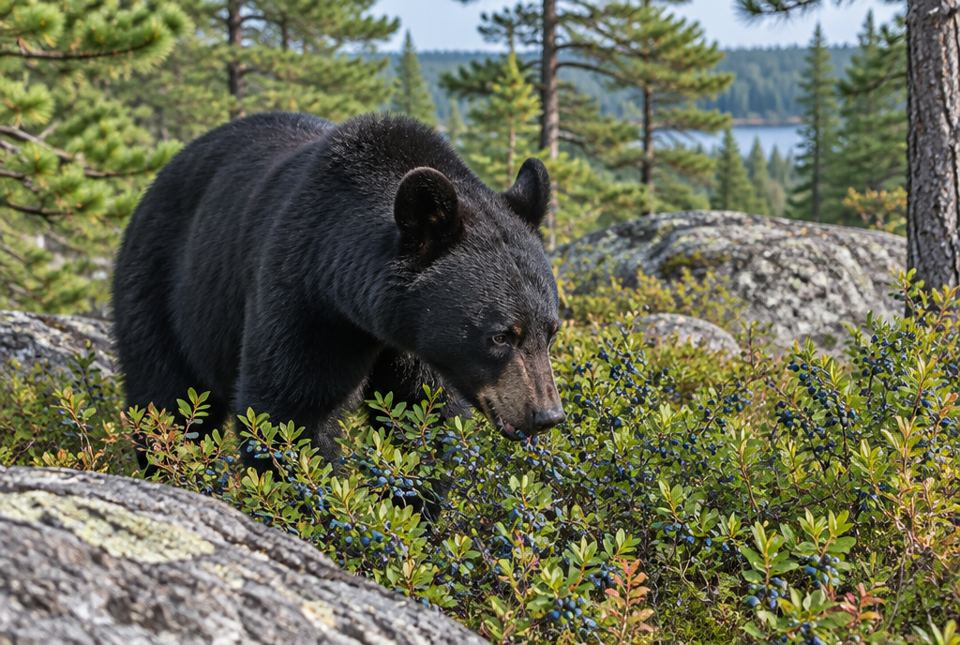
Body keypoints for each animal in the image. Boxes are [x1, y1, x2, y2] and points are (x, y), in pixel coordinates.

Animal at [113, 112, 565, 474]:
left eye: (551, 331)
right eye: (501, 335)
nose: (546, 414)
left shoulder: (418, 342)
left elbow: (425, 416)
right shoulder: (305, 300)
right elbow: (287, 409)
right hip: (161, 293)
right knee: (165, 402)